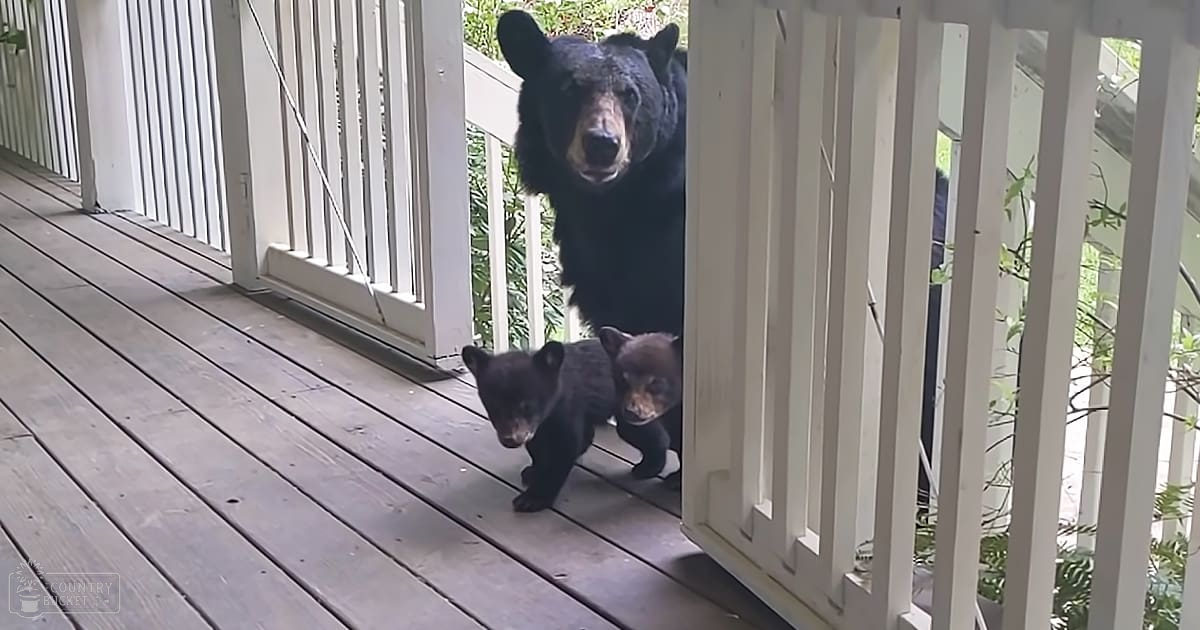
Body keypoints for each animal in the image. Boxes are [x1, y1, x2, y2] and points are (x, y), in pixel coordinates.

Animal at [461, 338, 670, 511]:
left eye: (526, 405)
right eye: (493, 407)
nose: (510, 439)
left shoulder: (568, 407)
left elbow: (563, 451)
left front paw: (534, 498)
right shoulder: (540, 426)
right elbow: (538, 447)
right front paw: (535, 470)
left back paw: (649, 467)